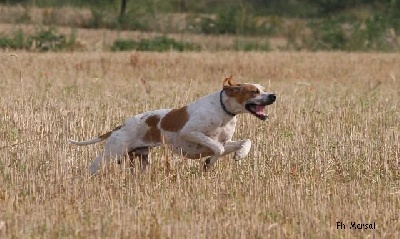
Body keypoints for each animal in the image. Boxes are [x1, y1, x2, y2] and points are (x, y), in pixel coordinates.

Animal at [69, 75, 276, 175]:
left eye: (264, 89)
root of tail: (121, 126)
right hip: (111, 154)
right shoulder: (190, 132)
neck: (224, 110)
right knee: (93, 167)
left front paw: (237, 155)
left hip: (141, 159)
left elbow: (243, 142)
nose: (273, 96)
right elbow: (217, 148)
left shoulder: (226, 142)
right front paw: (210, 162)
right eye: (254, 91)